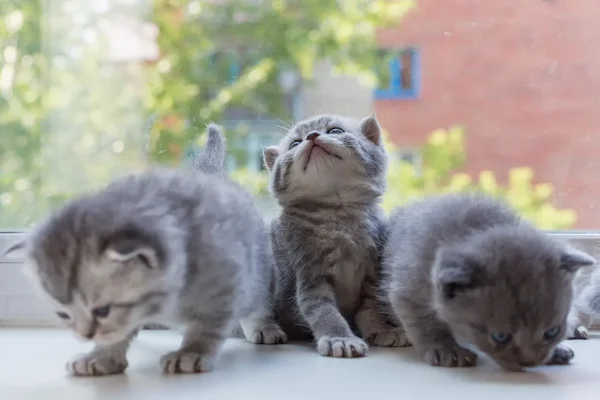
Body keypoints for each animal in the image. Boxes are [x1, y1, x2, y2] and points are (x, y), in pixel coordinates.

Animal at [4, 125, 286, 376]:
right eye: (63, 313)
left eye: (102, 311)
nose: (85, 335)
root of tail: (212, 174)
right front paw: (102, 356)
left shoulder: (224, 282)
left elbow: (206, 325)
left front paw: (191, 352)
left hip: (262, 272)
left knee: (258, 302)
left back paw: (263, 327)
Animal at [262, 114, 408, 358]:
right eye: (294, 144)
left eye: (335, 130)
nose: (312, 136)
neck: (339, 217)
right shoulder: (310, 274)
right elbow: (322, 310)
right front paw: (339, 338)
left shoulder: (371, 275)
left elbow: (370, 309)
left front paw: (381, 329)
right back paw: (264, 329)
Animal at [384, 192, 596, 370]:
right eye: (500, 337)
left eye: (552, 331)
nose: (529, 362)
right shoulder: (409, 287)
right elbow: (424, 322)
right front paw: (445, 348)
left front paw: (555, 351)